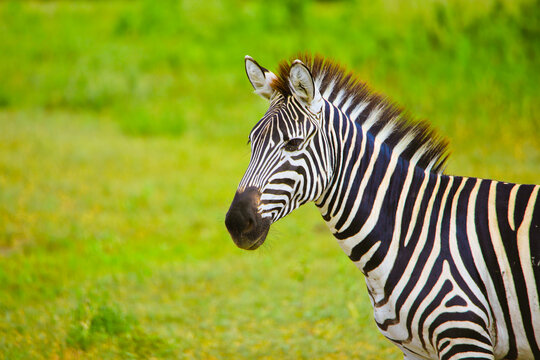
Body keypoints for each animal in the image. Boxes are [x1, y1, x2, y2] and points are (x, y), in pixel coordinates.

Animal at [225, 54, 540, 360]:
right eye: (251, 142)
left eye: (293, 144)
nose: (236, 223)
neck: (410, 231)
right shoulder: (414, 351)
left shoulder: (465, 335)